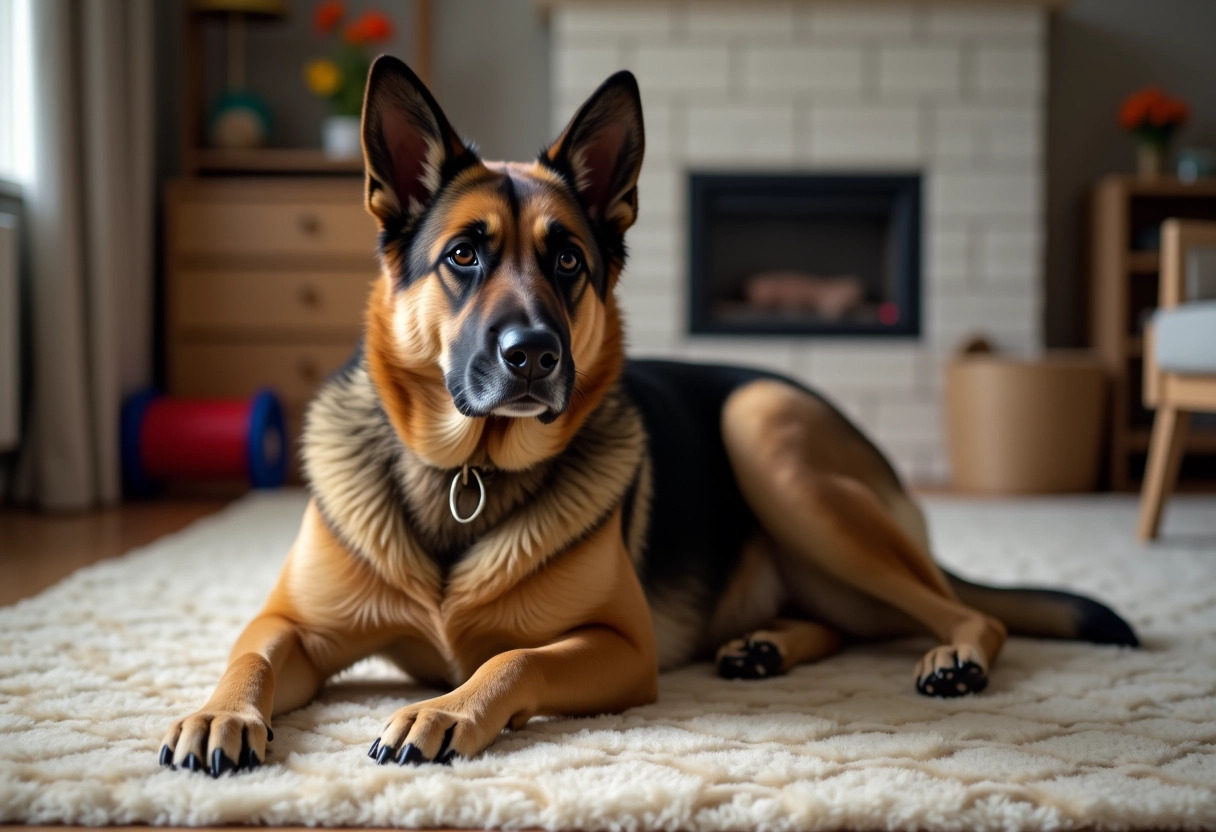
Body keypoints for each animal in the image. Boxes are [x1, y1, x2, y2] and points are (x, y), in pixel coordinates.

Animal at [156, 56, 1133, 773]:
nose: (534, 355)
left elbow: (511, 657)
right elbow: (248, 651)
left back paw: (951, 657)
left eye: (569, 262)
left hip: (770, 437)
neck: (468, 471)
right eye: (464, 256)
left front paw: (442, 710)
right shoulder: (295, 628)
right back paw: (764, 644)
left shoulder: (624, 646)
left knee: (969, 613)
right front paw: (216, 714)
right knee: (853, 619)